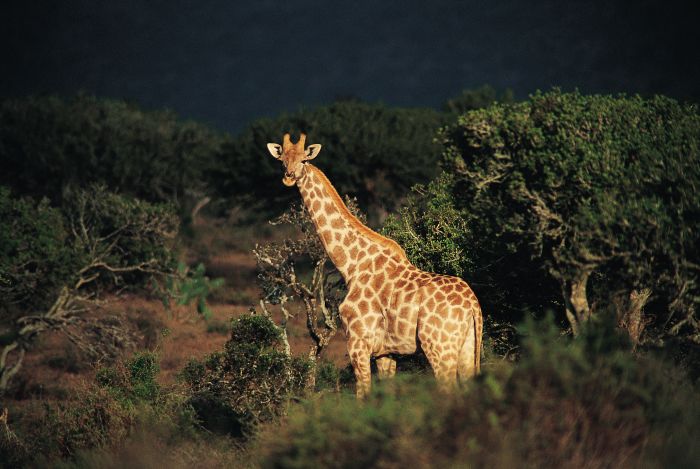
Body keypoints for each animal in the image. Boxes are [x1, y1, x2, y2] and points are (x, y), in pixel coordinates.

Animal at [266, 133, 484, 396]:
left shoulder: (358, 342)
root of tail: (473, 305)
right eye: (282, 160)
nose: (288, 176)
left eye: (303, 160)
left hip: (440, 347)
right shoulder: (386, 352)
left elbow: (363, 394)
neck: (352, 264)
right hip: (467, 347)